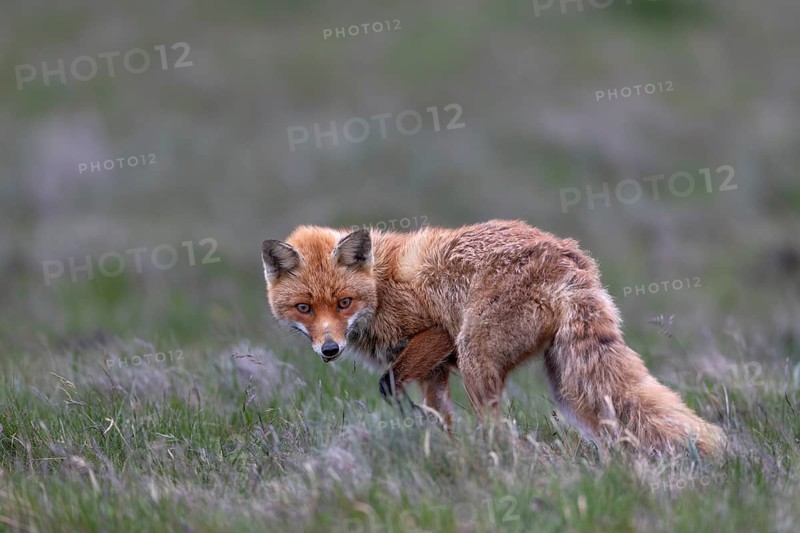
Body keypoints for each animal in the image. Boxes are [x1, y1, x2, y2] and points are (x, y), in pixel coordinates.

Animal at [262, 220, 725, 455]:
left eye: (343, 302)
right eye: (304, 308)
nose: (329, 349)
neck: (379, 284)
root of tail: (566, 255)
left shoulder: (438, 335)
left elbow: (388, 384)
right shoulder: (434, 374)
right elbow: (440, 418)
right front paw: (443, 454)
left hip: (475, 357)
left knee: (500, 430)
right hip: (567, 386)